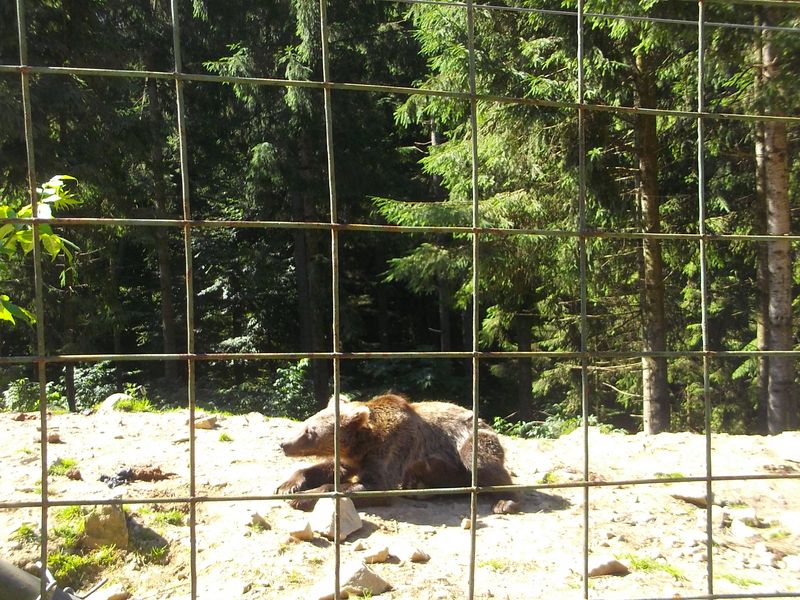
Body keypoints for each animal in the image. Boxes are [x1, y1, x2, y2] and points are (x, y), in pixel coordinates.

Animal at [275, 393, 520, 514]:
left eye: (310, 431)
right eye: (305, 424)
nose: (284, 443)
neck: (363, 442)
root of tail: (483, 420)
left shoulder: (394, 447)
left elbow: (376, 486)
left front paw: (303, 497)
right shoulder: (353, 458)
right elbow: (330, 467)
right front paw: (287, 486)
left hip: (473, 439)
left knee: (478, 460)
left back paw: (505, 501)